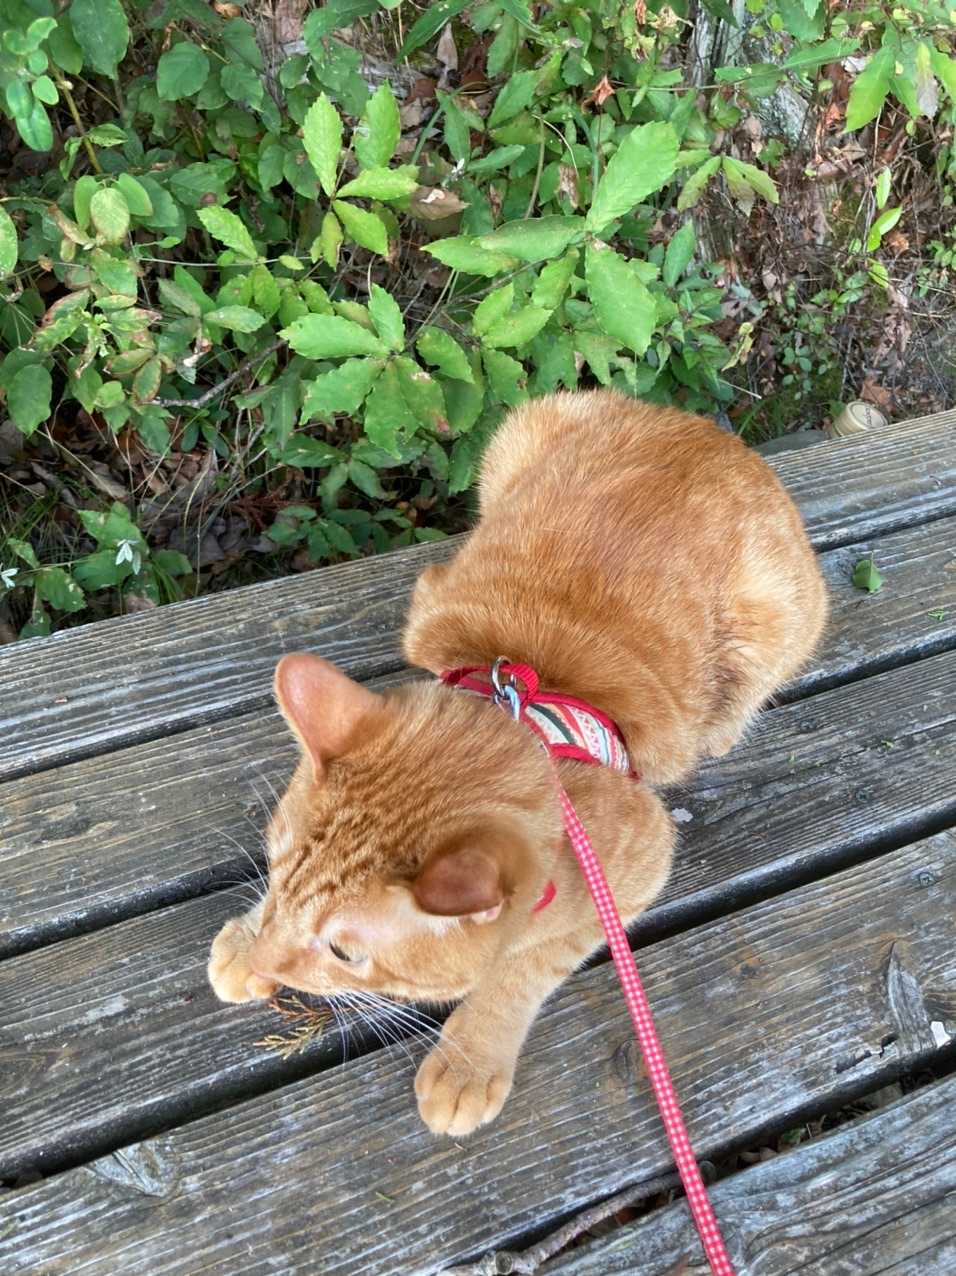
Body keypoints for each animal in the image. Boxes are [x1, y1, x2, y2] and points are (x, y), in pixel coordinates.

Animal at [208, 390, 828, 1136]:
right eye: (273, 875)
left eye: (345, 955)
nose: (267, 959)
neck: (526, 710)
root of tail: (711, 432)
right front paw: (247, 939)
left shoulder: (637, 871)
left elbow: (523, 968)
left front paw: (470, 1060)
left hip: (778, 620)